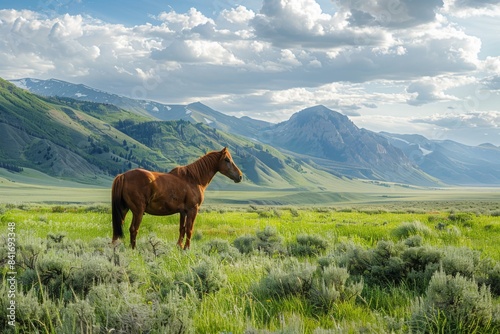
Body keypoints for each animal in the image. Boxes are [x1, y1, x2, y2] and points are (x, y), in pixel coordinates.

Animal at [111, 147, 242, 249]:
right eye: (227, 160)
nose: (240, 176)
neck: (194, 179)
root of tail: (123, 176)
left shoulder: (183, 212)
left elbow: (182, 229)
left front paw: (179, 246)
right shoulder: (193, 210)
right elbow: (189, 229)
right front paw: (187, 248)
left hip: (124, 210)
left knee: (117, 229)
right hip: (138, 211)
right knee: (133, 229)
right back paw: (133, 249)